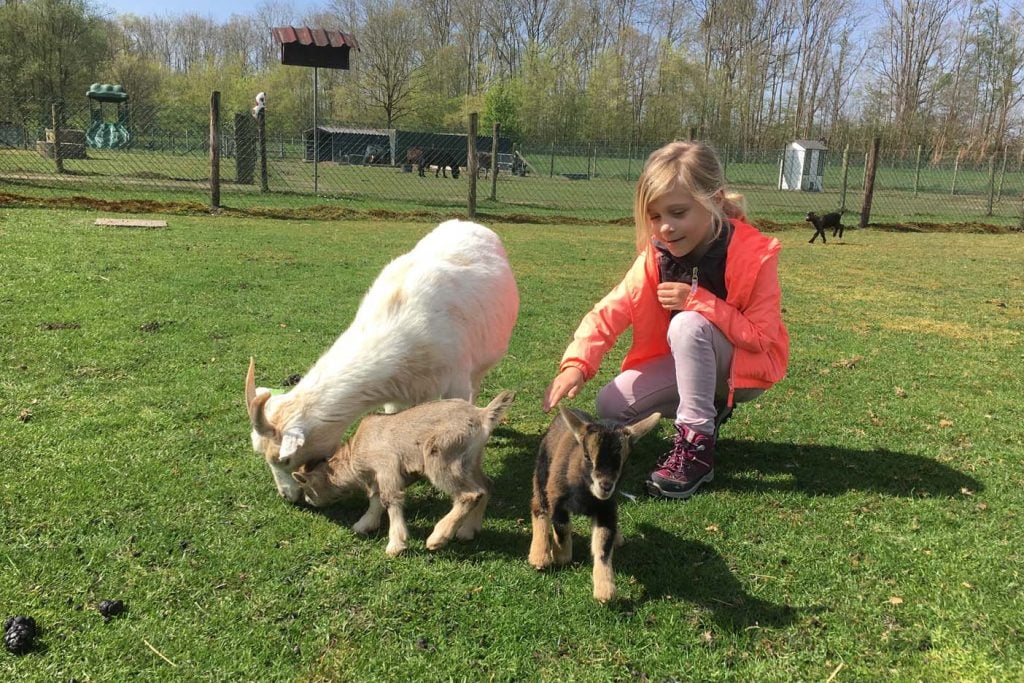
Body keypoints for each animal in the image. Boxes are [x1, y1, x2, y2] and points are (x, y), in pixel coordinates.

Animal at [290, 389, 516, 557]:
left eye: (305, 485)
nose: (308, 501)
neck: (355, 453)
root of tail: (482, 415)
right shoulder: (379, 476)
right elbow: (376, 498)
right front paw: (365, 524)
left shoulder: (386, 466)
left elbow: (390, 499)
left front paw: (395, 545)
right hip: (470, 461)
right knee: (485, 486)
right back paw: (468, 531)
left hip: (442, 456)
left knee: (470, 494)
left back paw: (438, 538)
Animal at [528, 405, 663, 602]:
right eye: (587, 456)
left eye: (622, 462)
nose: (605, 486)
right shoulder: (557, 499)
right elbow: (561, 528)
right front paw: (561, 556)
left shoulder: (606, 509)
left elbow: (603, 544)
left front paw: (605, 591)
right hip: (542, 471)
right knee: (538, 507)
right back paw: (539, 556)